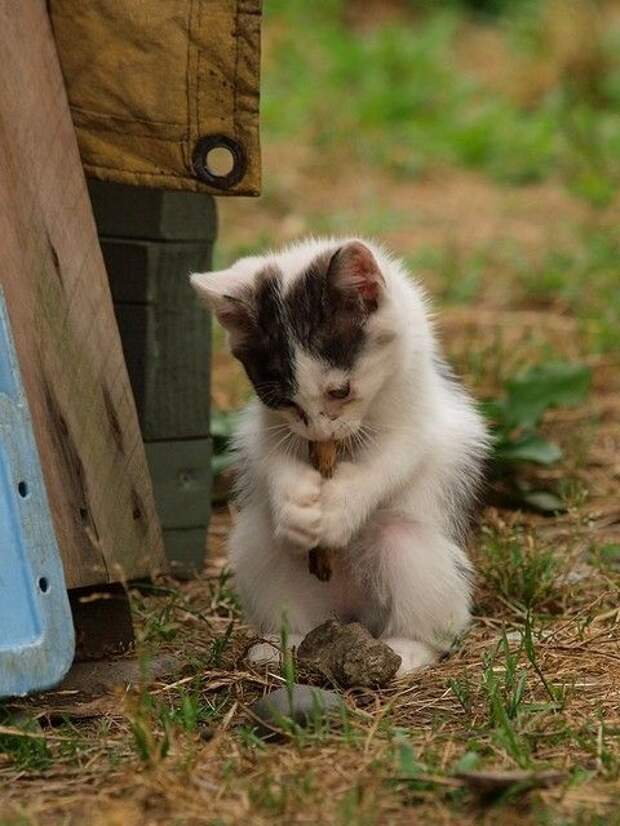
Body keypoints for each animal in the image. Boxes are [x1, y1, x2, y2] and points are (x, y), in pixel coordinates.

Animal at [190, 235, 490, 672]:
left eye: (341, 391)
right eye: (284, 401)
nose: (320, 430)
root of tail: (352, 613)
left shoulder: (421, 420)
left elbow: (394, 457)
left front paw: (339, 510)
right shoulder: (263, 425)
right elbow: (269, 453)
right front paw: (296, 503)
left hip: (413, 547)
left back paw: (408, 649)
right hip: (261, 546)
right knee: (269, 551)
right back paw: (281, 645)